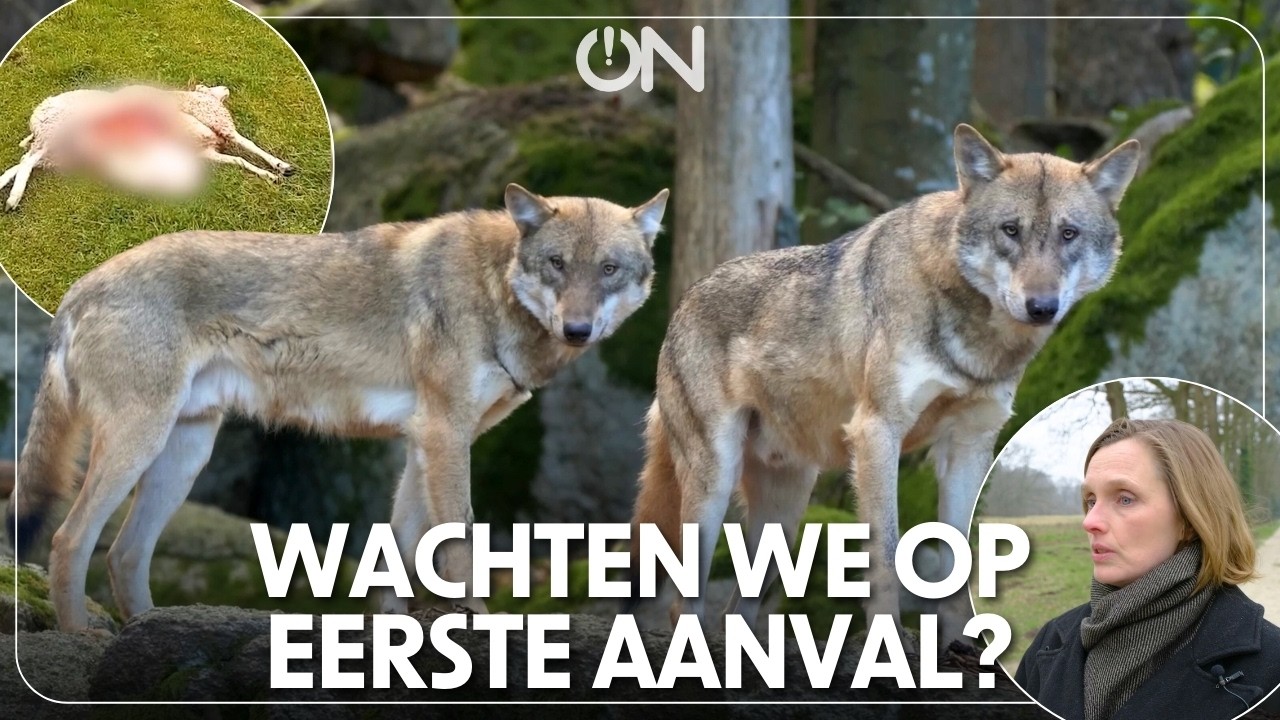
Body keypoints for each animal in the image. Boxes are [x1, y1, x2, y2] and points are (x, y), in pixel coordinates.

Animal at [7, 183, 668, 631]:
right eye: (557, 264)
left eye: (608, 269)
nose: (578, 329)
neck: (493, 287)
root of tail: (79, 288)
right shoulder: (444, 436)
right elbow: (457, 545)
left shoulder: (421, 443)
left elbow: (400, 558)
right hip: (138, 444)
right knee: (68, 541)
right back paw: (82, 638)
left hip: (184, 454)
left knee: (123, 553)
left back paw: (148, 633)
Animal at [629, 124, 1139, 642]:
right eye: (1010, 230)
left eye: (1068, 234)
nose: (1042, 307)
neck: (975, 336)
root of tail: (685, 300)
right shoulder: (877, 432)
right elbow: (888, 556)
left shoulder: (969, 445)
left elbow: (959, 555)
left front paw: (960, 643)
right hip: (715, 482)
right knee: (682, 605)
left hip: (786, 512)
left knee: (737, 609)